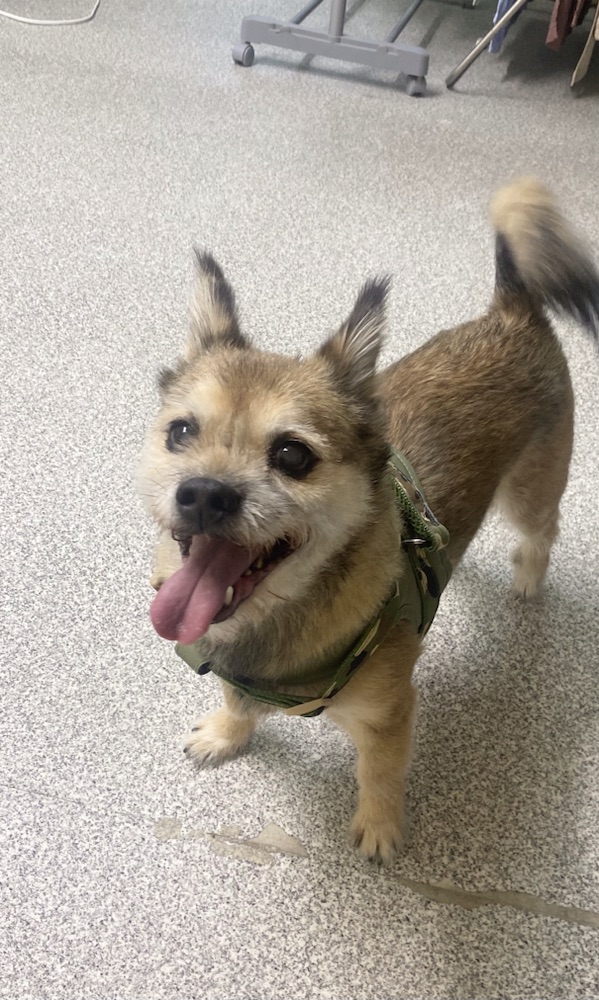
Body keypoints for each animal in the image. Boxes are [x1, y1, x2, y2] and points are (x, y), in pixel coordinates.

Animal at [139, 178, 599, 863]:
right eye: (181, 432)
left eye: (292, 455)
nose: (202, 494)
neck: (277, 624)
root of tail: (512, 309)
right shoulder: (231, 668)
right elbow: (234, 698)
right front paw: (227, 733)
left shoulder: (389, 714)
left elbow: (380, 773)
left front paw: (380, 827)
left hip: (530, 491)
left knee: (543, 530)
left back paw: (527, 578)